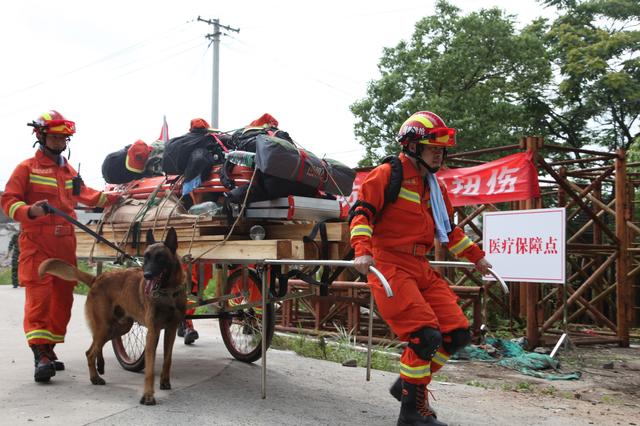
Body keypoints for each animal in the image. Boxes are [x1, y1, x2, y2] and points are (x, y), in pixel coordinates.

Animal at [38, 228, 185, 404]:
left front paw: (164, 382)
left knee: (95, 346)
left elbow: (167, 360)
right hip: (106, 327)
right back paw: (95, 378)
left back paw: (99, 367)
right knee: (90, 352)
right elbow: (149, 370)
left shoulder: (171, 331)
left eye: (160, 257)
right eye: (146, 257)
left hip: (119, 328)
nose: (147, 275)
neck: (167, 294)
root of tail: (97, 278)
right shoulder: (153, 333)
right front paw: (148, 396)